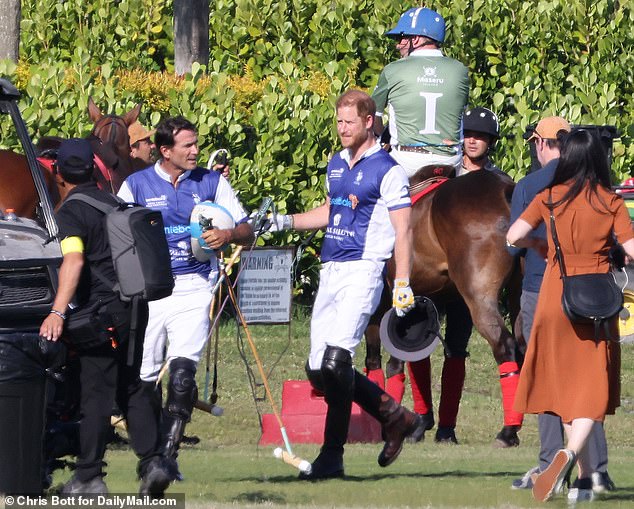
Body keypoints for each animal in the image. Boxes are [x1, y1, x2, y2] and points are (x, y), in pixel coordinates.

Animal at [362, 166, 520, 444]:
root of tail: (506, 190)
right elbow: (415, 361)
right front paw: (421, 423)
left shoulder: (382, 309)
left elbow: (384, 363)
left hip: (479, 296)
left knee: (506, 345)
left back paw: (507, 431)